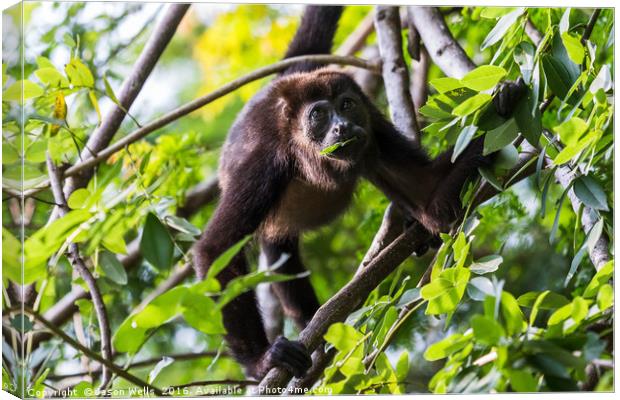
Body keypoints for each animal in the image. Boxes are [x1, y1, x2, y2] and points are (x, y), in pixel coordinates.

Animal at [195, 4, 524, 378]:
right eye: (319, 114)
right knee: (280, 253)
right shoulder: (263, 164)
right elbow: (217, 250)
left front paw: (503, 105)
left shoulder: (374, 127)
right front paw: (261, 361)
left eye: (347, 105)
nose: (342, 126)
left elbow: (429, 198)